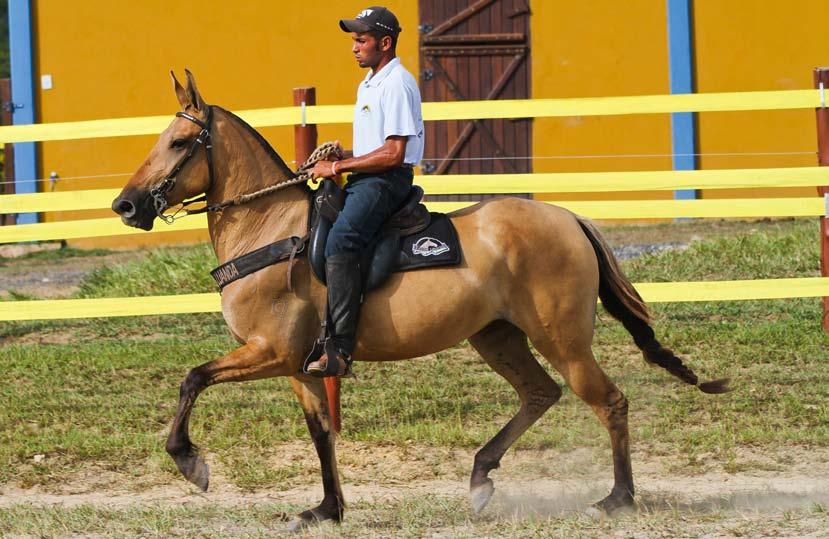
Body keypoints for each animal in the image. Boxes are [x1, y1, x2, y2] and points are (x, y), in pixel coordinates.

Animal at [110, 69, 724, 528]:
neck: (272, 229)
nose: (126, 205)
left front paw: (190, 462)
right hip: (496, 337)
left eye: (180, 142)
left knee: (608, 401)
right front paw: (328, 509)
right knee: (539, 394)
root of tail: (568, 218)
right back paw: (481, 476)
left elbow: (192, 378)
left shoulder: (270, 351)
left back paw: (617, 499)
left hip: (563, 340)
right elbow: (320, 433)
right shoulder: (297, 365)